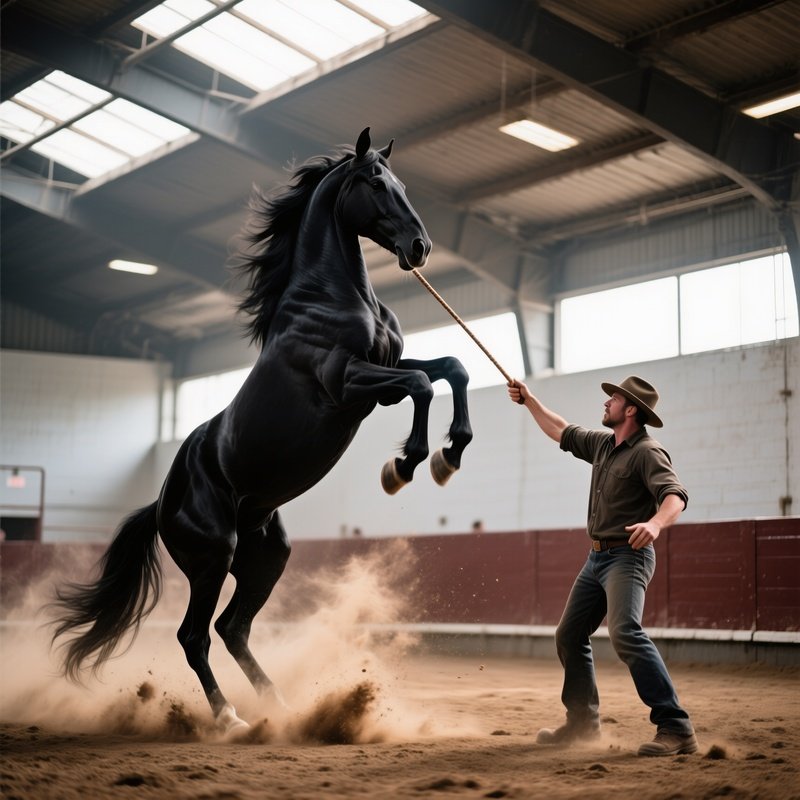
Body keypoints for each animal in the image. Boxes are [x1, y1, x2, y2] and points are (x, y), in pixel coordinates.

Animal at [49, 128, 473, 736]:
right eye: (374, 182)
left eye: (399, 181)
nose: (419, 248)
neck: (332, 297)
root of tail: (162, 500)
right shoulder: (348, 383)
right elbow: (421, 382)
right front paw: (407, 464)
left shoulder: (382, 379)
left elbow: (451, 368)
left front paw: (450, 454)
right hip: (212, 557)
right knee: (195, 635)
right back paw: (230, 719)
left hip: (267, 556)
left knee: (232, 628)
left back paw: (281, 709)